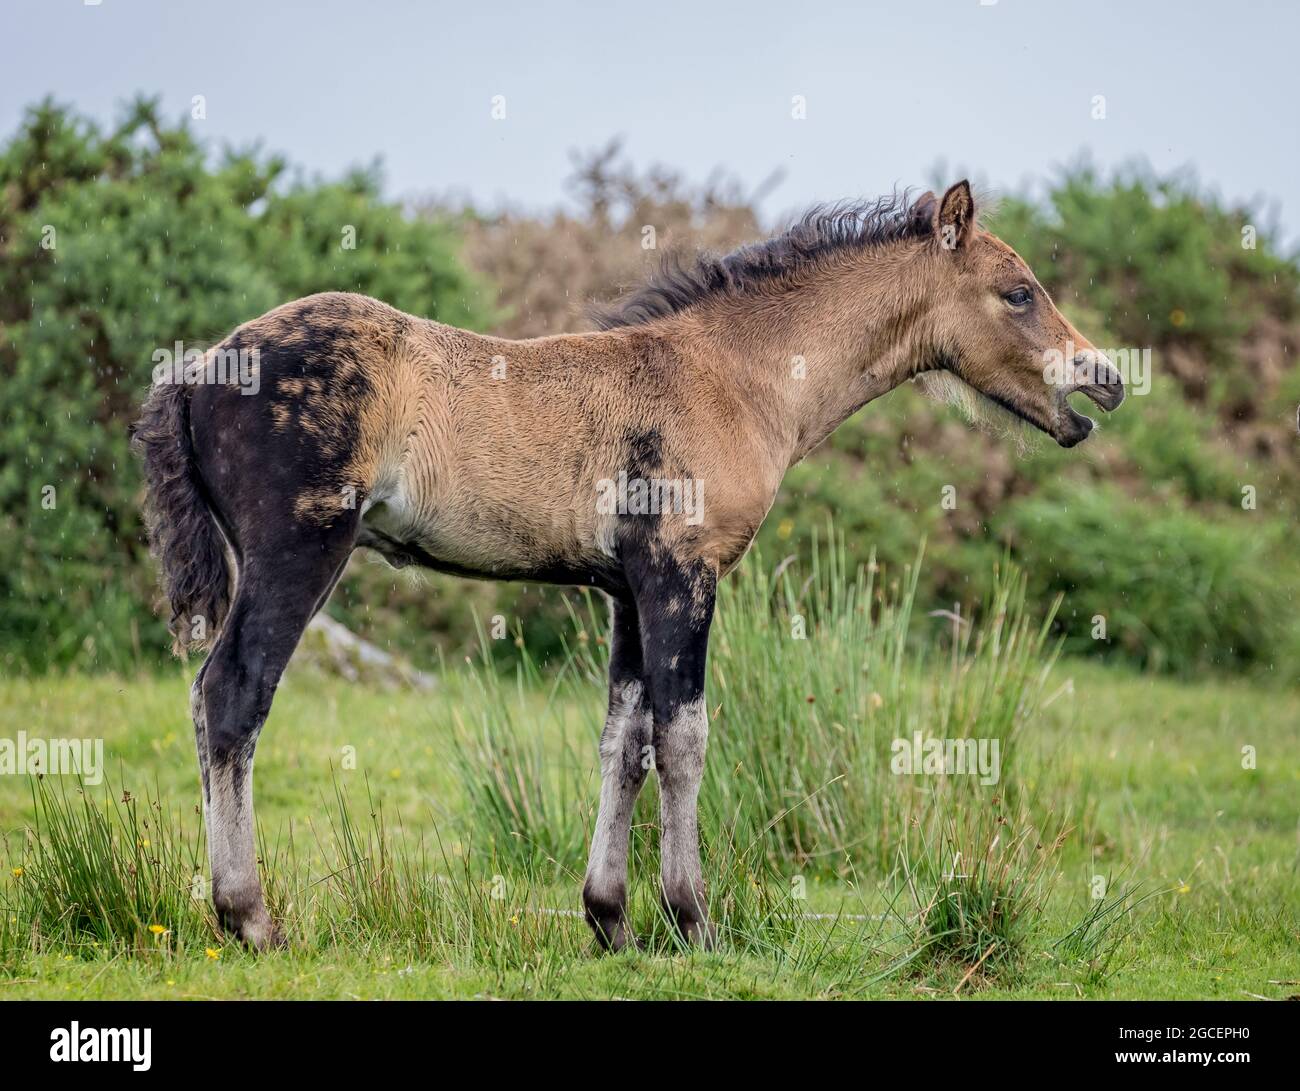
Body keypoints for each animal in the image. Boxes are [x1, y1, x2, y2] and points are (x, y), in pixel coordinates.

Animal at [131, 182, 1124, 952]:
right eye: (1019, 292)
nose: (1105, 379)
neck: (736, 377)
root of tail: (197, 367)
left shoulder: (625, 593)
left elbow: (624, 742)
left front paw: (610, 921)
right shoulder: (681, 576)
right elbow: (684, 740)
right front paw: (694, 921)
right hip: (297, 553)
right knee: (232, 694)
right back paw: (251, 918)